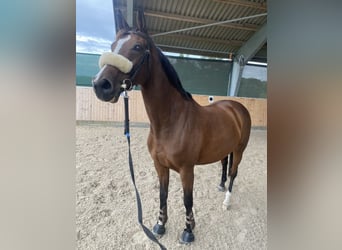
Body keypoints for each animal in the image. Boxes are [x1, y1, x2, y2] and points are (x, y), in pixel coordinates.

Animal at [93, 10, 251, 244]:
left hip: (240, 150)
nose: (100, 85)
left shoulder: (187, 170)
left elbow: (187, 200)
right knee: (224, 165)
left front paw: (188, 231)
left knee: (233, 172)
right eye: (113, 45)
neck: (171, 123)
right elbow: (163, 194)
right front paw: (160, 225)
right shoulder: (160, 166)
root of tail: (237, 107)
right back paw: (221, 186)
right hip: (225, 148)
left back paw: (227, 201)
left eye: (137, 46)